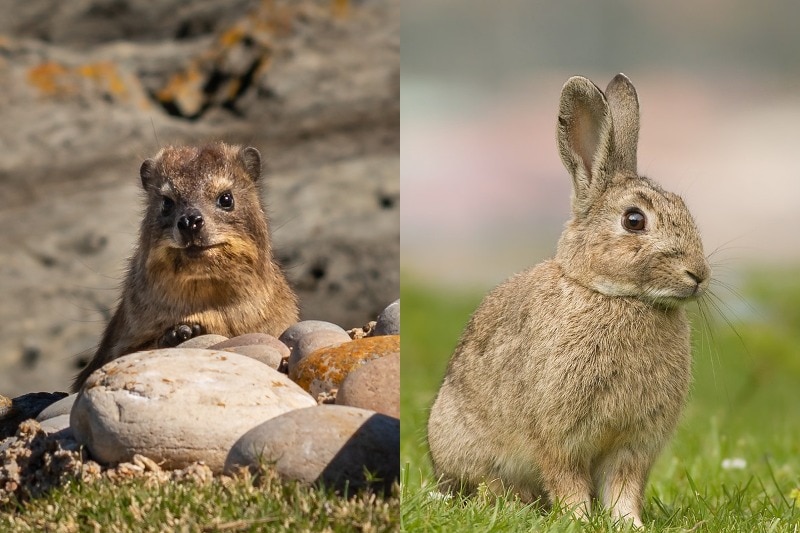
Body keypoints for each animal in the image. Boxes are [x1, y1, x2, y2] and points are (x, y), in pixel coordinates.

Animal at [428, 72, 708, 524]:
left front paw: (629, 524)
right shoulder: (559, 436)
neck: (616, 297)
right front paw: (578, 519)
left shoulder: (633, 445)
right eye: (634, 220)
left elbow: (623, 487)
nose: (698, 274)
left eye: (683, 206)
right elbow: (567, 479)